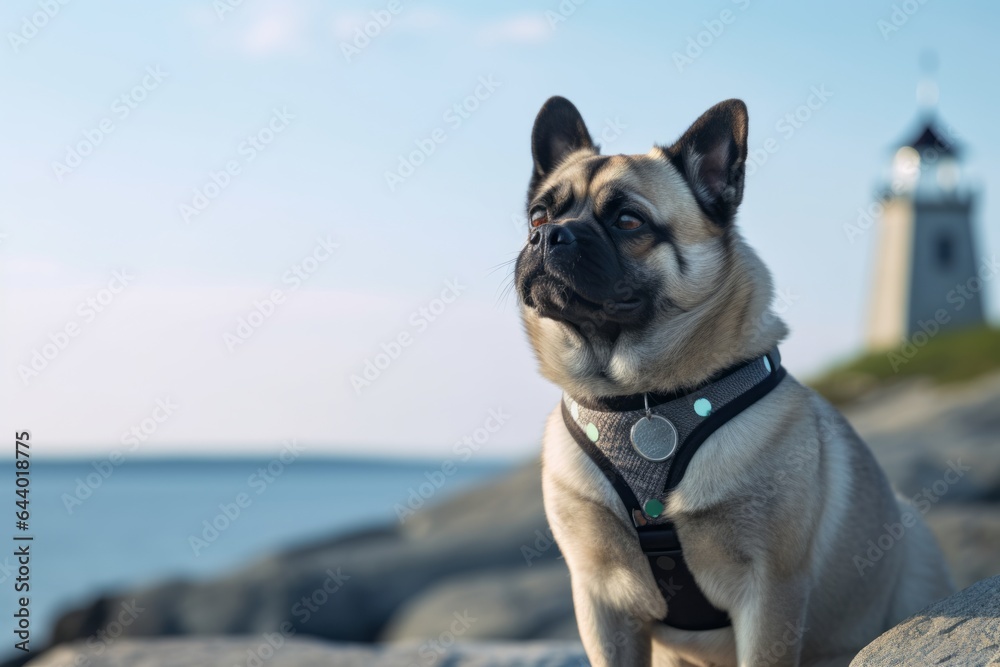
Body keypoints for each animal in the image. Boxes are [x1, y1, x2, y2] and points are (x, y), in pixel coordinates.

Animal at [516, 95, 952, 667]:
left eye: (629, 221)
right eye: (537, 215)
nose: (549, 234)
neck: (637, 398)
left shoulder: (769, 593)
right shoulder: (600, 601)